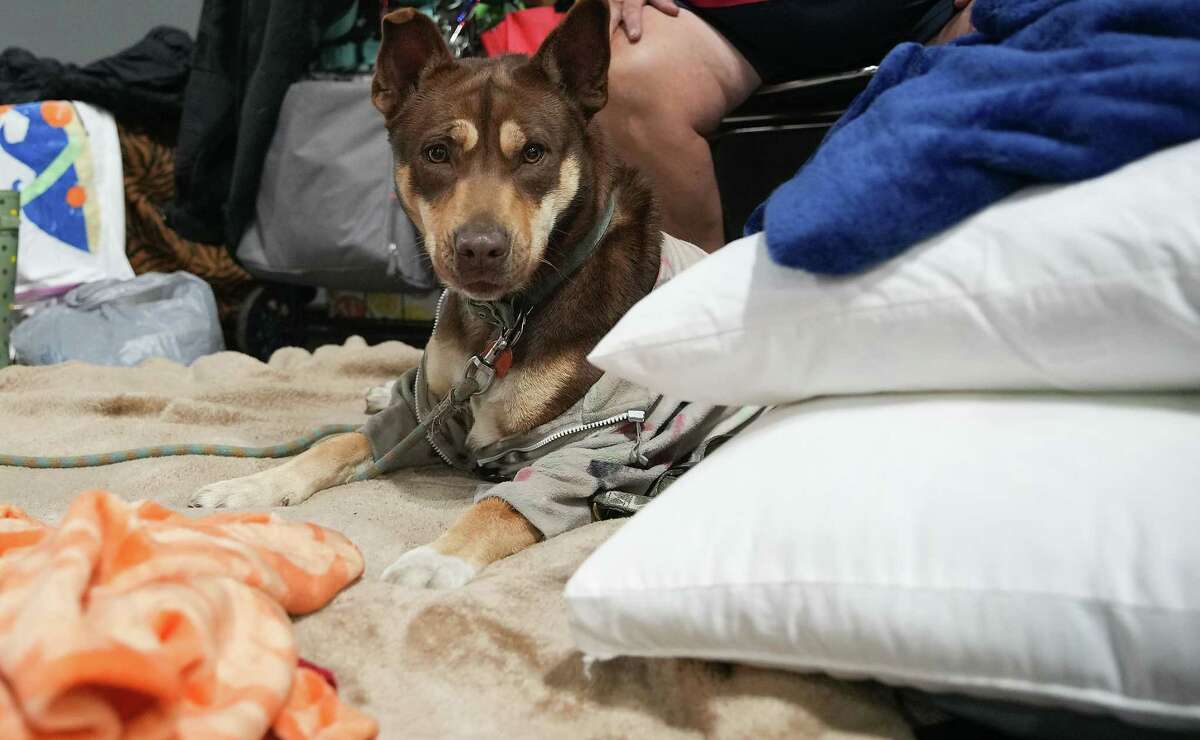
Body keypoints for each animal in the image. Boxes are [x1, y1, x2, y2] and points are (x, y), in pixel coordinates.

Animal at [192, 0, 672, 587]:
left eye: (534, 153)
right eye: (437, 152)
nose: (480, 249)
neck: (503, 321)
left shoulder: (585, 450)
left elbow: (500, 507)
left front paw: (433, 560)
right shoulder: (429, 415)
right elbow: (338, 441)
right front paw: (250, 486)